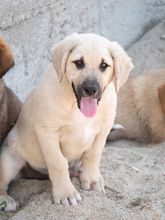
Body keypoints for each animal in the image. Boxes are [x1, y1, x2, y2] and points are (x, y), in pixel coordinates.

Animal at [0, 33, 133, 211]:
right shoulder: (47, 130)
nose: (91, 89)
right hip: (10, 159)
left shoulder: (104, 127)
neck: (76, 107)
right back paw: (6, 199)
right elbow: (58, 163)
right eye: (79, 63)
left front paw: (91, 178)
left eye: (104, 65)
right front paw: (65, 193)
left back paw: (77, 171)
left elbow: (93, 154)